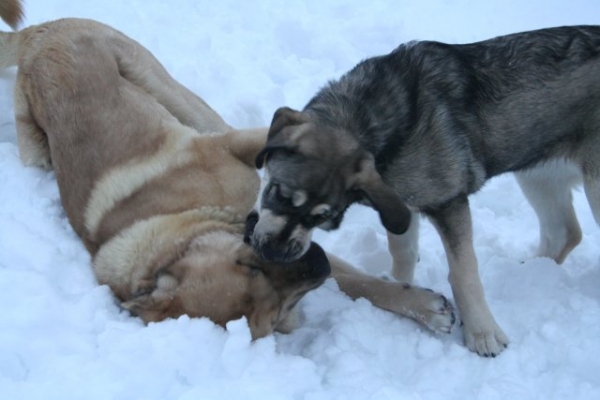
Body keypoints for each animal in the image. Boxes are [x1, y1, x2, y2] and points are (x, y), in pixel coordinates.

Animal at [0, 0, 454, 338]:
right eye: (275, 310)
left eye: (246, 264)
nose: (317, 265)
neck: (178, 223)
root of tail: (38, 34)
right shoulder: (281, 239)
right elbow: (352, 280)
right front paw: (422, 306)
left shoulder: (228, 153)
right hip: (35, 150)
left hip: (167, 89)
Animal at [247, 25, 600, 356]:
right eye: (277, 191)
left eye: (322, 218)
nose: (273, 254)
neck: (369, 119)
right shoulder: (399, 202)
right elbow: (402, 250)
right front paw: (401, 287)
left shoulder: (448, 202)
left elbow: (463, 273)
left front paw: (482, 334)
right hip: (538, 172)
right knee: (564, 232)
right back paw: (527, 271)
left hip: (590, 185)